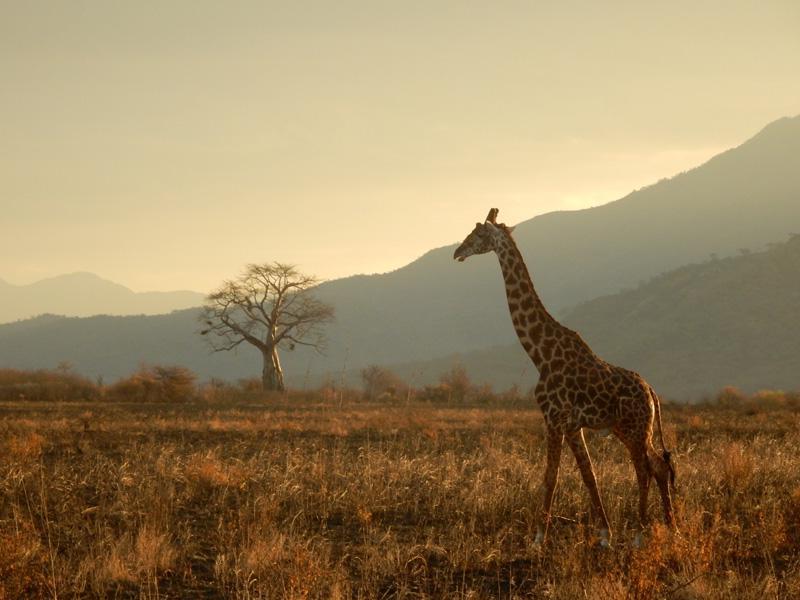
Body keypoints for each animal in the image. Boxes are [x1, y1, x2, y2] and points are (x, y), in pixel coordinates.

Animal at [453, 208, 675, 548]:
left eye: (477, 234)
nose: (457, 252)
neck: (540, 354)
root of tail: (651, 391)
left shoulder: (555, 418)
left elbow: (551, 476)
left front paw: (537, 538)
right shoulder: (572, 425)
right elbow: (589, 475)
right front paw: (604, 535)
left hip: (635, 429)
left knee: (644, 469)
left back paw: (640, 534)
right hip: (630, 429)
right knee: (659, 466)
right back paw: (672, 529)